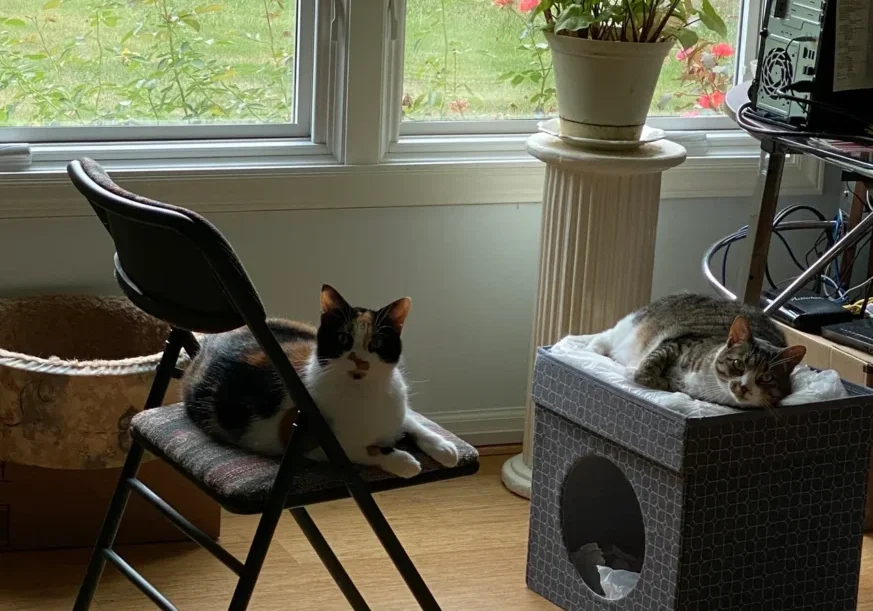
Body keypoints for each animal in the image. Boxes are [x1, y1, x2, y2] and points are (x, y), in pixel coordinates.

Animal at [181, 284, 460, 480]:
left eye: (377, 343)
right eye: (343, 338)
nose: (359, 360)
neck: (366, 393)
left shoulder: (398, 410)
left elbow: (413, 423)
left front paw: (445, 448)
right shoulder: (310, 444)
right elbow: (362, 451)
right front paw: (404, 462)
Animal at [588, 294, 808, 408]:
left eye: (767, 377)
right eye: (738, 364)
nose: (744, 387)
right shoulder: (677, 343)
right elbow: (649, 367)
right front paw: (646, 375)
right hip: (631, 327)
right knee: (609, 335)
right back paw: (594, 348)